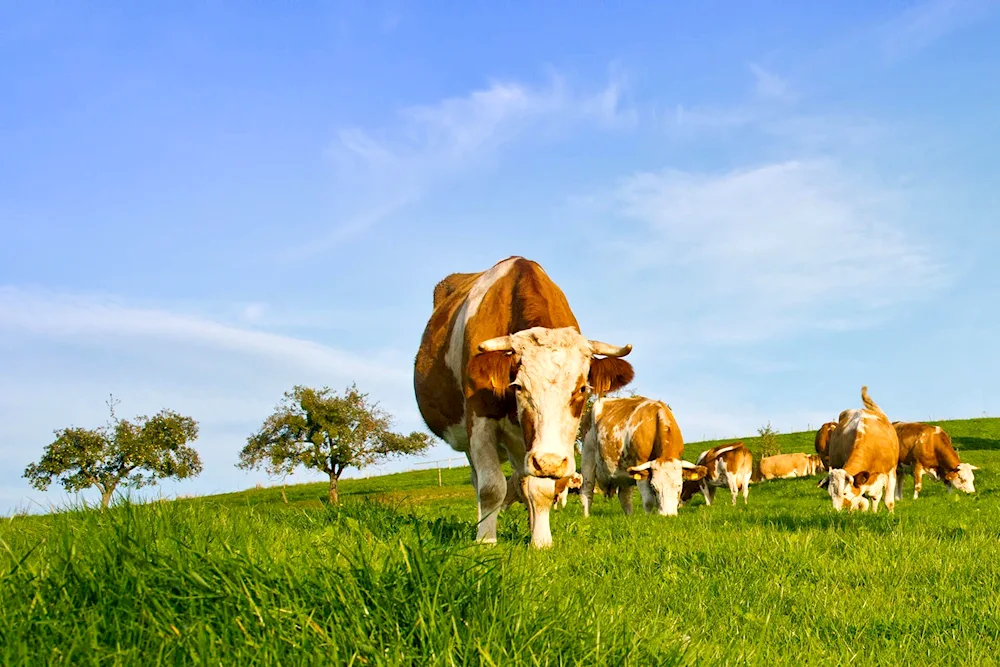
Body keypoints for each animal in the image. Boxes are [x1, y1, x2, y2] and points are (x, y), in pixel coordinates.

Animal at [414, 256, 632, 548]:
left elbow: (539, 488)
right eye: (518, 386)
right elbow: (491, 487)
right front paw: (485, 540)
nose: (550, 462)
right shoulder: (479, 421)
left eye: (582, 389)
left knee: (523, 481)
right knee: (480, 480)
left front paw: (540, 540)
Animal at [576, 396, 708, 516]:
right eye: (654, 487)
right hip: (587, 456)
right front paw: (647, 518)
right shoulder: (640, 463)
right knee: (587, 491)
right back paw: (586, 517)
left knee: (625, 497)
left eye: (679, 485)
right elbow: (649, 500)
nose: (667, 515)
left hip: (624, 469)